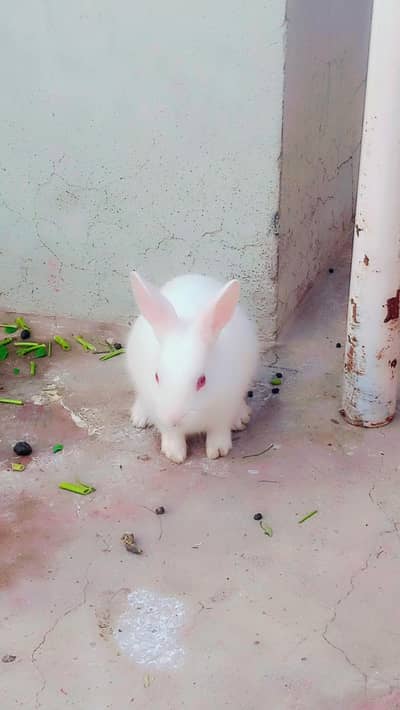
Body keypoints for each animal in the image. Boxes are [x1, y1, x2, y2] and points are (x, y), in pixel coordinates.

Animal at [127, 271, 259, 463]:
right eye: (156, 377)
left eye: (202, 381)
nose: (173, 417)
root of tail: (191, 276)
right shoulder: (159, 410)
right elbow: (171, 433)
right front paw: (174, 454)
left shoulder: (226, 405)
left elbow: (219, 429)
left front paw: (218, 450)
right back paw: (139, 418)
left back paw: (241, 418)